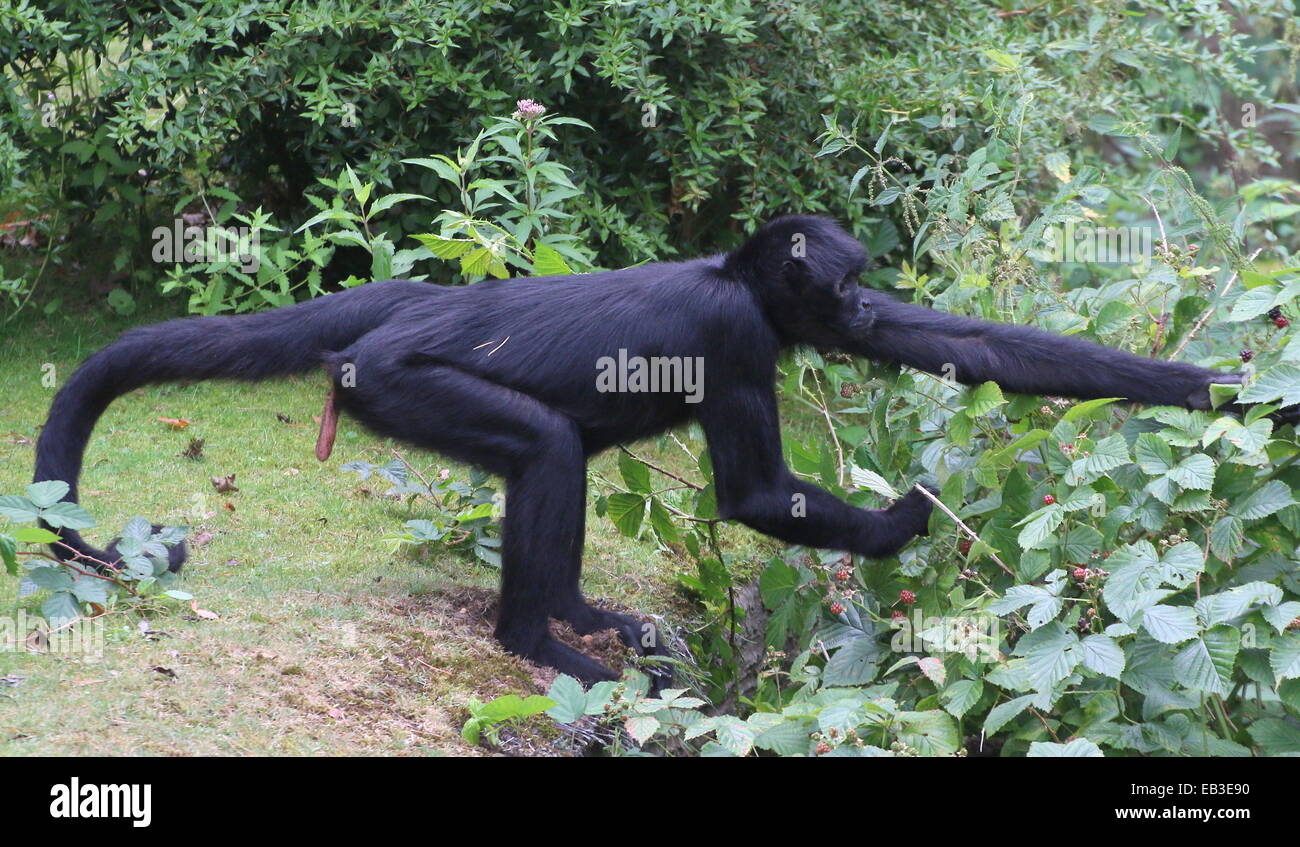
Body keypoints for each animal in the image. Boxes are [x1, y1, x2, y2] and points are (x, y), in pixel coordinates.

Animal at [35, 215, 1248, 685]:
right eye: (846, 280)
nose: (858, 304)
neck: (730, 274)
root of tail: (404, 309)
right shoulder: (739, 335)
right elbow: (754, 492)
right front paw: (903, 522)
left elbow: (959, 344)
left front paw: (1214, 387)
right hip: (399, 380)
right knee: (549, 444)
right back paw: (541, 637)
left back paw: (581, 615)